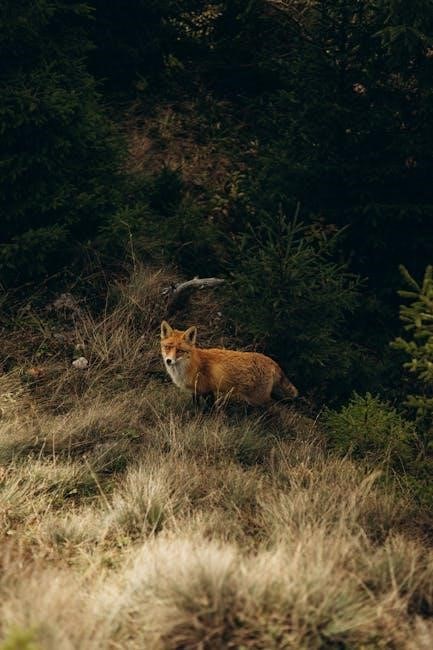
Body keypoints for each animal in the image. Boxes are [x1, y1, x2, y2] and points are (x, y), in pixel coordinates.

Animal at [160, 320, 298, 407]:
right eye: (167, 347)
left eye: (179, 351)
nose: (168, 361)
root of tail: (271, 360)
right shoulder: (195, 392)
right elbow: (196, 407)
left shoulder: (208, 390)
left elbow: (208, 410)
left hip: (258, 399)